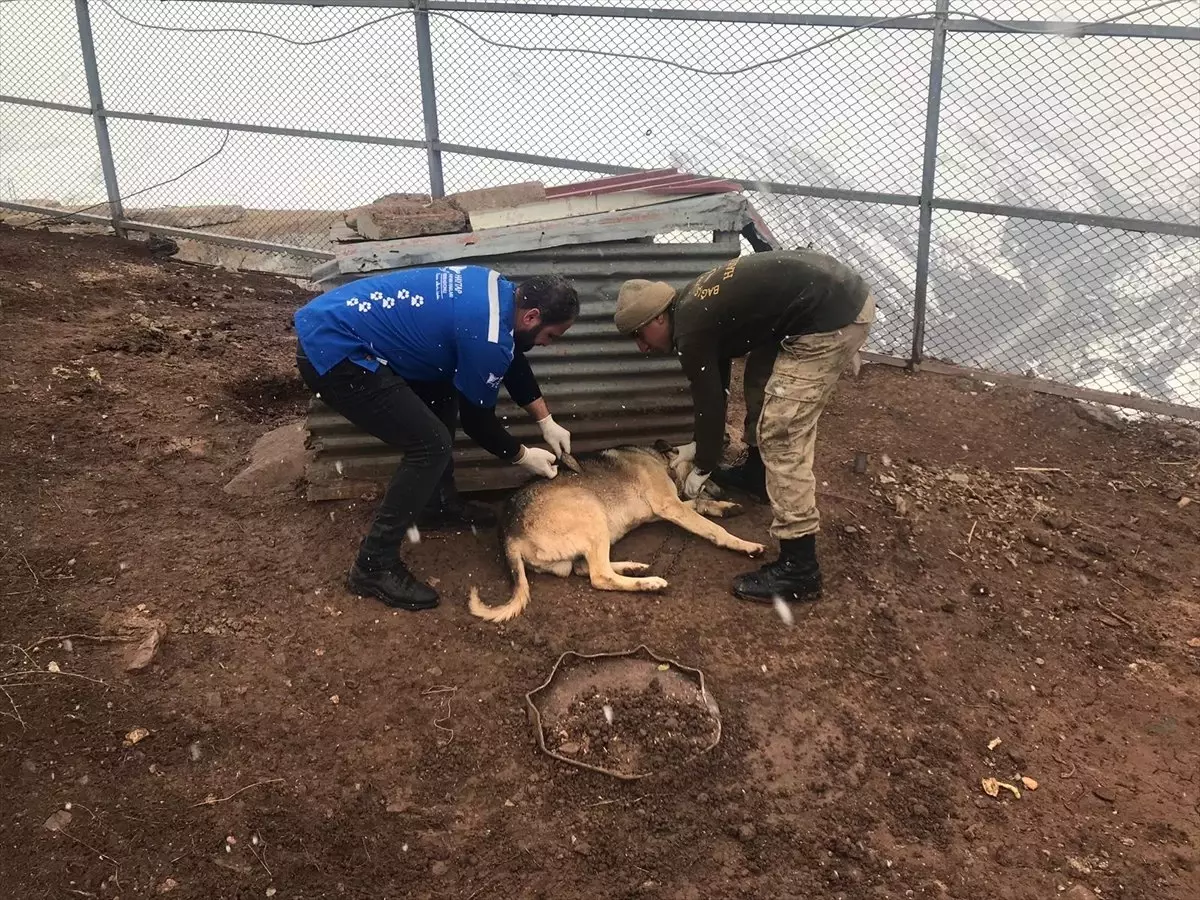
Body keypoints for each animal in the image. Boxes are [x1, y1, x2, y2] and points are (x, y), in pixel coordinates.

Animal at [468, 441, 758, 624]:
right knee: (598, 575)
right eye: (708, 472)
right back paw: (649, 583)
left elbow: (698, 504)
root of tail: (508, 533)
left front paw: (724, 507)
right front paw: (743, 543)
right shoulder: (669, 506)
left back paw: (633, 567)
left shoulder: (665, 510)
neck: (660, 457)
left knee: (583, 568)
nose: (723, 490)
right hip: (592, 511)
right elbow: (711, 526)